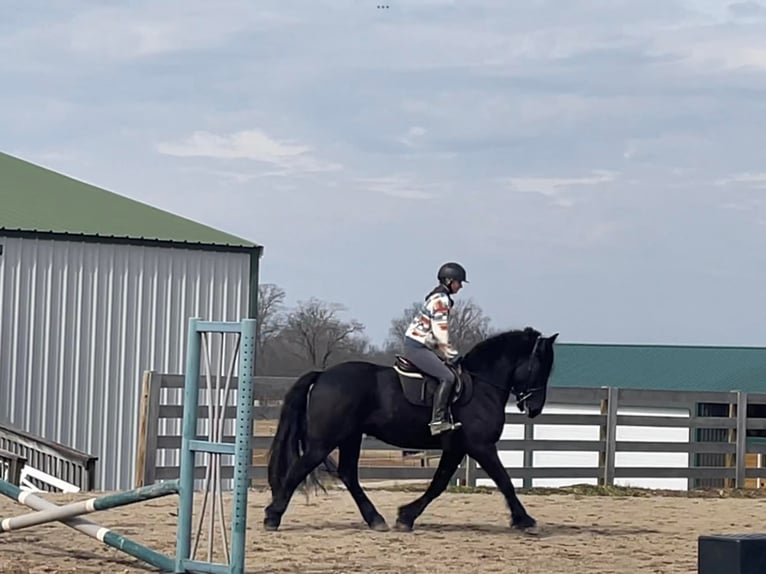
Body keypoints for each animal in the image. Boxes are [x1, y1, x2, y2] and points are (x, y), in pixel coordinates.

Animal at [264, 326, 560, 532]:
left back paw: (375, 519)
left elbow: (438, 484)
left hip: (350, 437)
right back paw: (272, 516)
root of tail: (323, 375)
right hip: (324, 441)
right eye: (540, 367)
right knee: (299, 469)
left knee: (347, 474)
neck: (482, 384)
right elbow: (504, 481)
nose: (535, 408)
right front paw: (525, 520)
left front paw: (406, 516)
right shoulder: (481, 446)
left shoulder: (456, 448)